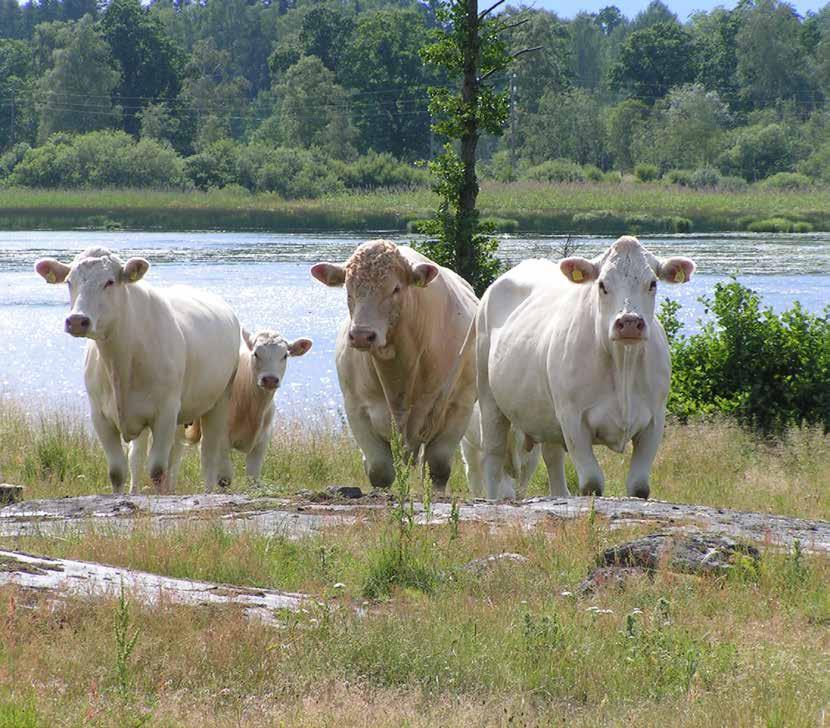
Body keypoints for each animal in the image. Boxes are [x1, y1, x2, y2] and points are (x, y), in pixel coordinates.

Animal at [37, 247, 242, 492]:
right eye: (69, 281)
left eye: (109, 281)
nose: (77, 320)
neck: (120, 362)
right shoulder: (100, 415)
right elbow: (117, 471)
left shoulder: (165, 412)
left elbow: (157, 470)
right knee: (154, 457)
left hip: (219, 400)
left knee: (207, 456)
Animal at [184, 328, 312, 478]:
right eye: (256, 353)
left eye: (285, 355)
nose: (270, 379)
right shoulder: (221, 439)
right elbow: (224, 475)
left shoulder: (261, 443)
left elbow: (253, 476)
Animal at [312, 242, 480, 492]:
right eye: (348, 289)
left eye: (396, 289)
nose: (361, 335)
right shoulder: (356, 408)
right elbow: (379, 470)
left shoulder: (459, 406)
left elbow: (438, 467)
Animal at [474, 237, 696, 500]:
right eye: (602, 285)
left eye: (652, 283)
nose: (630, 322)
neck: (623, 364)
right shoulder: (573, 420)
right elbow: (592, 482)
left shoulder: (655, 419)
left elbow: (639, 486)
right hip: (489, 398)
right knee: (493, 456)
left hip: (546, 414)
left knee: (553, 458)